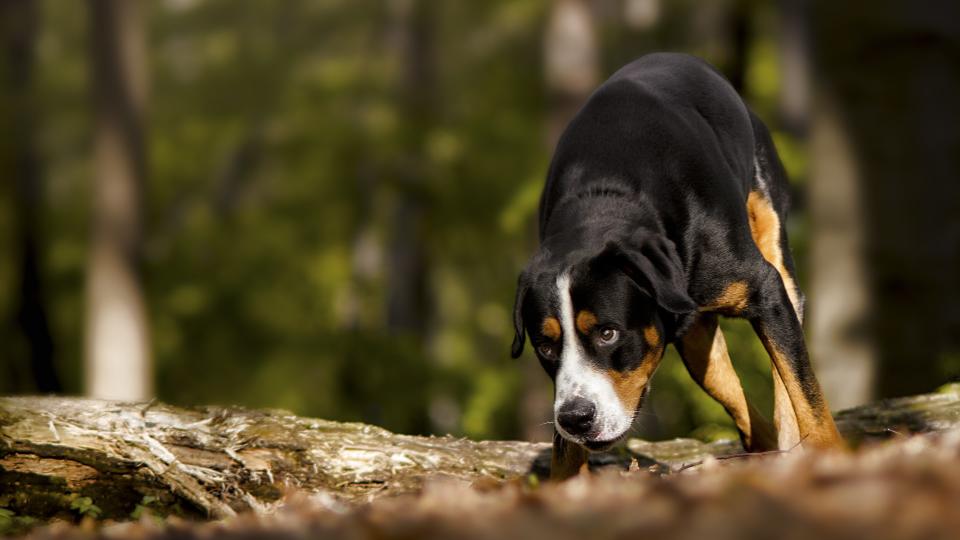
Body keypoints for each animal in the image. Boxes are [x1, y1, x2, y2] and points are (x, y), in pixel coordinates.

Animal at [510, 52, 840, 478]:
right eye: (546, 347)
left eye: (608, 334)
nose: (576, 417)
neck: (605, 196)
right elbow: (564, 454)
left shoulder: (764, 289)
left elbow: (806, 393)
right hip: (697, 341)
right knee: (737, 399)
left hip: (773, 239)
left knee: (786, 364)